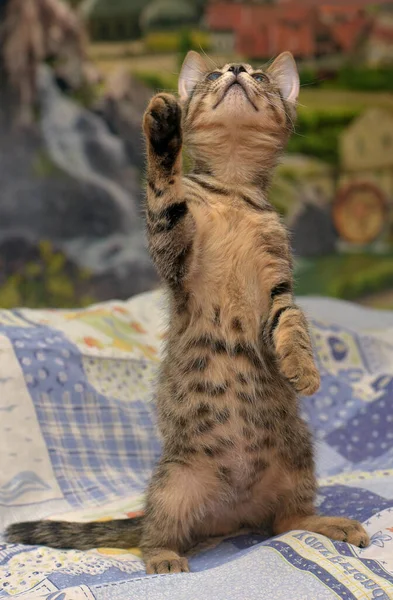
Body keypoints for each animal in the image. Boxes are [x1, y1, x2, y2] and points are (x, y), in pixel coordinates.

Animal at [5, 50, 368, 572]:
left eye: (260, 76)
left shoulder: (279, 285)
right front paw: (161, 133)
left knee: (287, 521)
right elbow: (165, 197)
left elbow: (293, 324)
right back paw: (163, 558)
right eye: (215, 74)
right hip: (174, 484)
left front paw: (303, 368)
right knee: (154, 534)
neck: (232, 192)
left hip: (299, 460)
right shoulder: (174, 257)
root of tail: (237, 513)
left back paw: (326, 523)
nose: (235, 69)